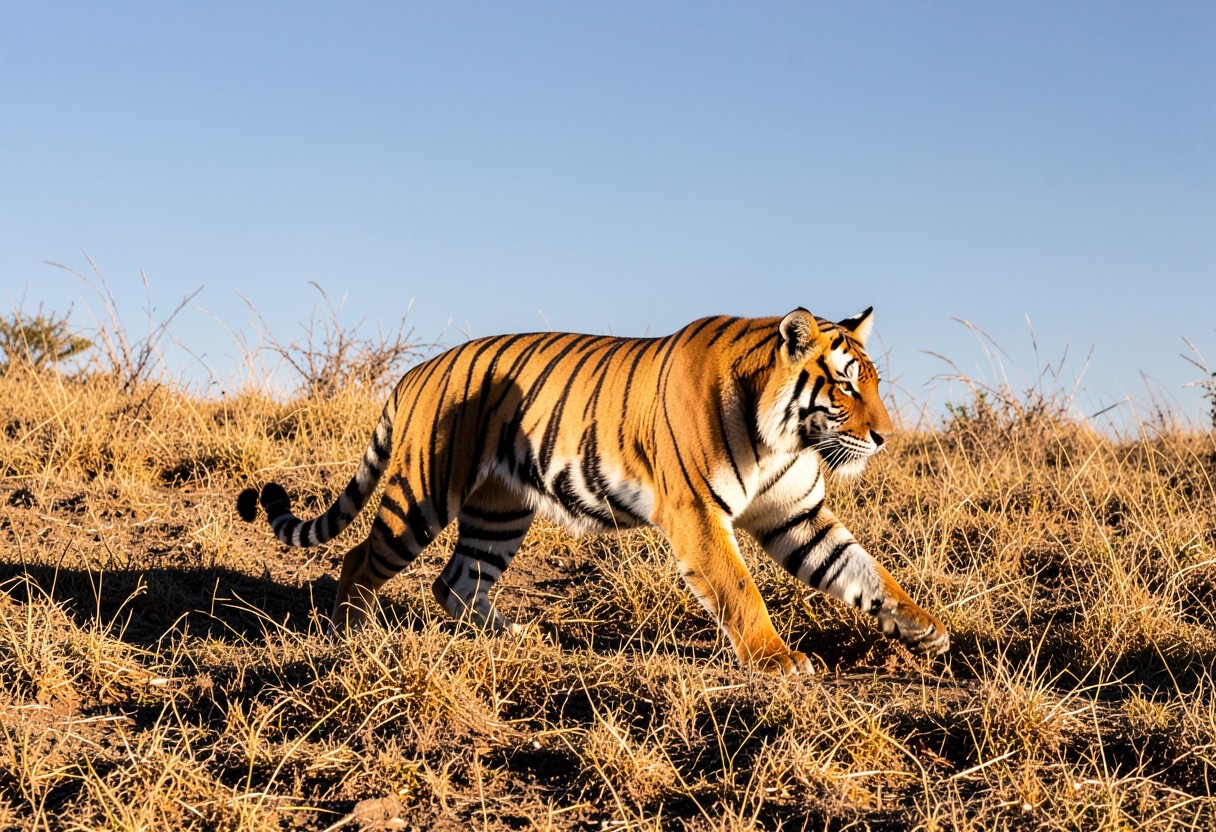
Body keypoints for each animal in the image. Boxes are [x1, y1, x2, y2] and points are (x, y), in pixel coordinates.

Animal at [237, 307, 949, 673]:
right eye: (847, 385)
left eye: (876, 382)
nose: (886, 437)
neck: (788, 436)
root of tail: (414, 372)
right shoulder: (697, 513)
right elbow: (739, 589)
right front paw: (776, 660)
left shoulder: (795, 514)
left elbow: (861, 568)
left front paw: (925, 628)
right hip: (421, 494)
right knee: (359, 559)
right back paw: (351, 636)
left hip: (500, 510)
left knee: (457, 580)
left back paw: (513, 636)